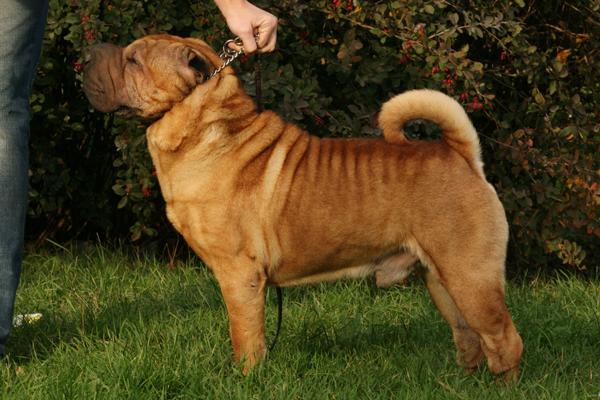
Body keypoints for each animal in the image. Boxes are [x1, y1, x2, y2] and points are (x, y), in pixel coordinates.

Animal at [83, 34, 523, 378]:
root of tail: (462, 155)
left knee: (505, 339)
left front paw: (246, 377)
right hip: (443, 279)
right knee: (470, 337)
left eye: (133, 60)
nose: (88, 54)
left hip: (470, 274)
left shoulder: (240, 275)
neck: (205, 130)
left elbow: (245, 336)